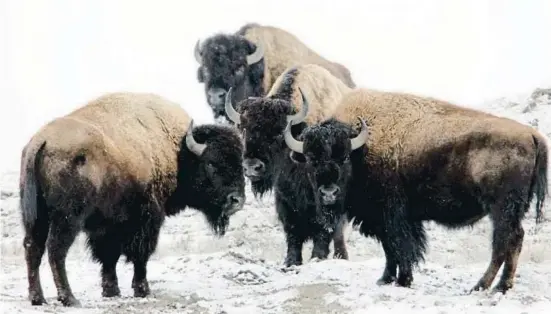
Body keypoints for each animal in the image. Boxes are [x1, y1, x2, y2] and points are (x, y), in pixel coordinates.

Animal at [20, 91, 246, 306]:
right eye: (211, 163)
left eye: (240, 162)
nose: (236, 200)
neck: (178, 151)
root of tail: (42, 142)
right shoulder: (146, 219)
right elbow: (140, 255)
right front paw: (142, 290)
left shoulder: (108, 226)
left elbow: (109, 256)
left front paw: (111, 291)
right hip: (67, 219)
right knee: (55, 251)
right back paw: (69, 298)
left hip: (35, 217)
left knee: (33, 248)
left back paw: (38, 298)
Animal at [224, 63, 354, 268]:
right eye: (244, 130)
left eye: (278, 133)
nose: (252, 167)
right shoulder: (285, 197)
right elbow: (292, 230)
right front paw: (291, 261)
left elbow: (323, 228)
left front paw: (317, 257)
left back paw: (342, 256)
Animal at [284, 87, 548, 292]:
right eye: (311, 159)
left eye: (345, 157)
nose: (329, 194)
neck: (364, 149)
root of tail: (531, 134)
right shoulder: (388, 219)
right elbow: (392, 249)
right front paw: (387, 279)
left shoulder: (392, 216)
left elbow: (399, 246)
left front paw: (401, 280)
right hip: (512, 211)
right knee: (515, 240)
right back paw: (501, 286)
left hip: (501, 209)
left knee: (503, 242)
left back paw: (484, 286)